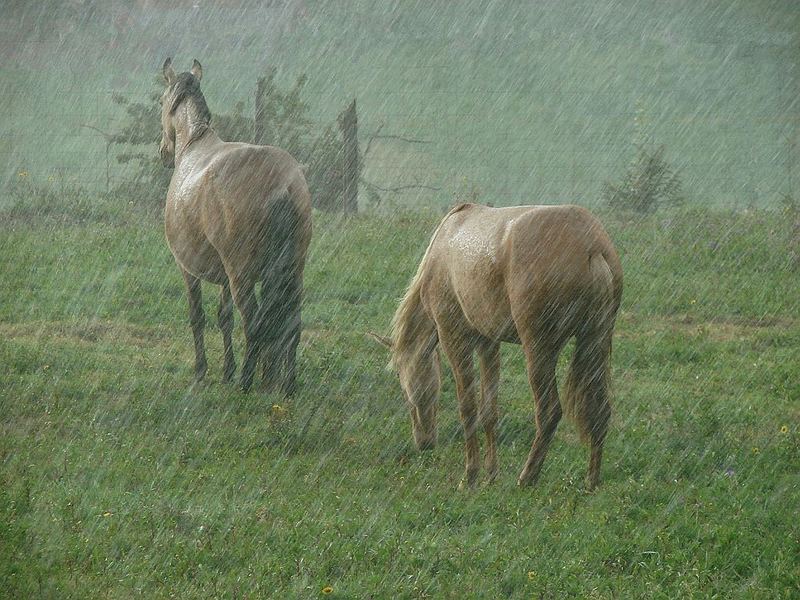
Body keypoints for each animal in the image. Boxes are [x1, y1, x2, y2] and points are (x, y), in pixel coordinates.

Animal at [159, 57, 312, 394]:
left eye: (161, 101)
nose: (163, 153)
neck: (194, 143)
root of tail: (281, 185)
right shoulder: (223, 276)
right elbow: (224, 317)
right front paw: (227, 370)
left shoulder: (187, 269)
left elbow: (198, 316)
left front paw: (202, 371)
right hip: (290, 271)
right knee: (290, 322)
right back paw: (284, 383)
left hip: (241, 275)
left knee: (254, 321)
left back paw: (247, 381)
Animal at [372, 204, 620, 490]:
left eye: (399, 376)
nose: (423, 443)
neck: (443, 248)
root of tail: (592, 247)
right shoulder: (488, 343)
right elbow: (489, 410)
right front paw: (490, 474)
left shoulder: (454, 339)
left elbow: (467, 407)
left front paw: (470, 476)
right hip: (595, 344)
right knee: (600, 411)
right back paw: (591, 481)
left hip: (539, 351)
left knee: (549, 412)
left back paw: (528, 477)